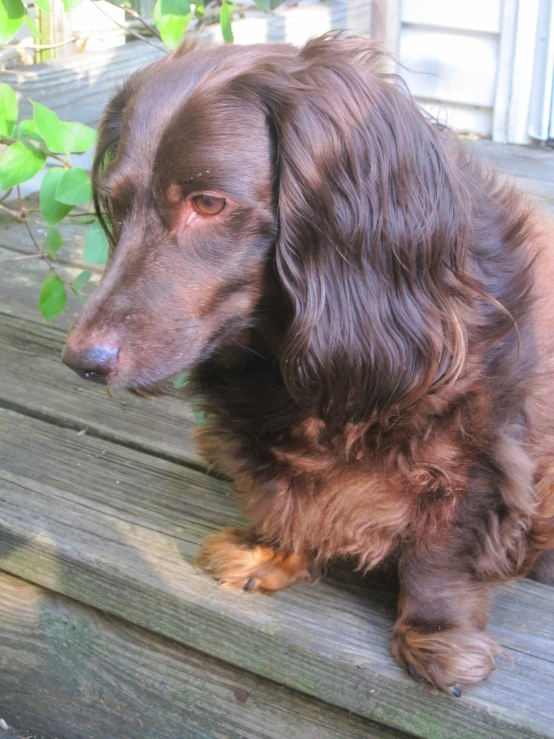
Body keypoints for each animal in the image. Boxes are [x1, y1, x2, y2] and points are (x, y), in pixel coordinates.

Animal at [62, 33, 552, 692]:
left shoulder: (483, 448)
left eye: (208, 203)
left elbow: (440, 551)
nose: (81, 360)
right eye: (115, 206)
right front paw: (273, 551)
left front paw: (436, 635)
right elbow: (283, 493)